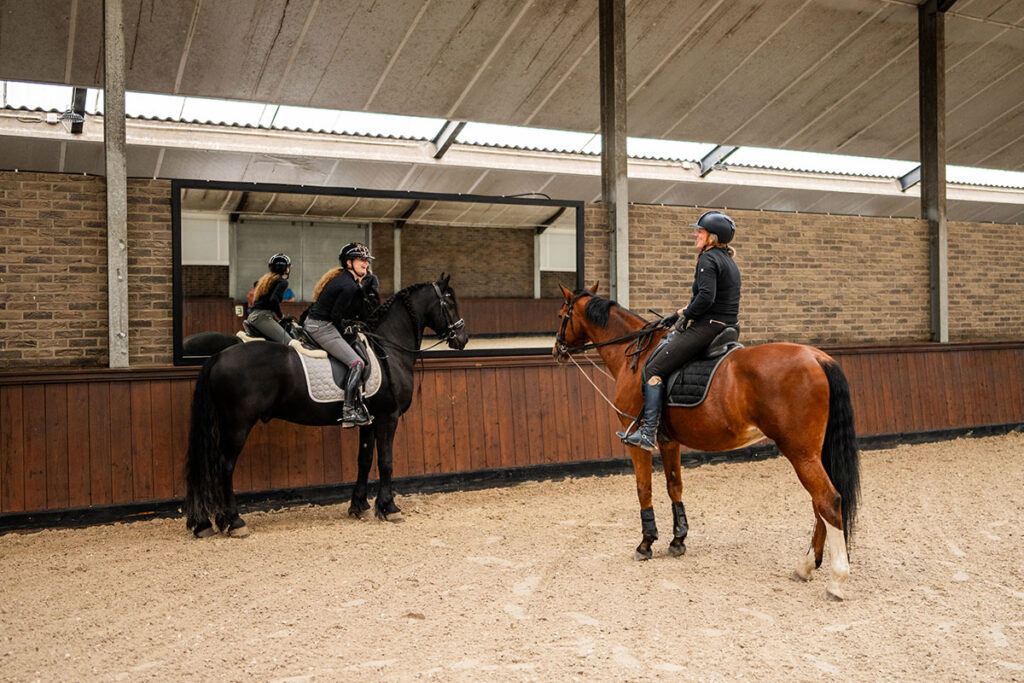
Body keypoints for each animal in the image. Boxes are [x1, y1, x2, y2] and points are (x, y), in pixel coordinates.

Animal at [185, 274, 468, 536]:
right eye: (449, 301)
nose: (462, 338)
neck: (387, 348)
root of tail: (218, 357)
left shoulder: (370, 420)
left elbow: (364, 459)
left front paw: (359, 506)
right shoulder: (389, 417)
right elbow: (386, 461)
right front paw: (389, 508)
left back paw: (210, 522)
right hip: (238, 423)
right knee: (225, 466)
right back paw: (235, 522)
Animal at [557, 282, 860, 598]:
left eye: (560, 315)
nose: (557, 349)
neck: (637, 356)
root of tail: (817, 357)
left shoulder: (636, 441)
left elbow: (644, 489)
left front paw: (646, 543)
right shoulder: (669, 441)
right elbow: (674, 486)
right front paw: (678, 540)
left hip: (801, 453)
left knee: (828, 500)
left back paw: (836, 580)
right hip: (813, 453)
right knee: (819, 504)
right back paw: (806, 566)